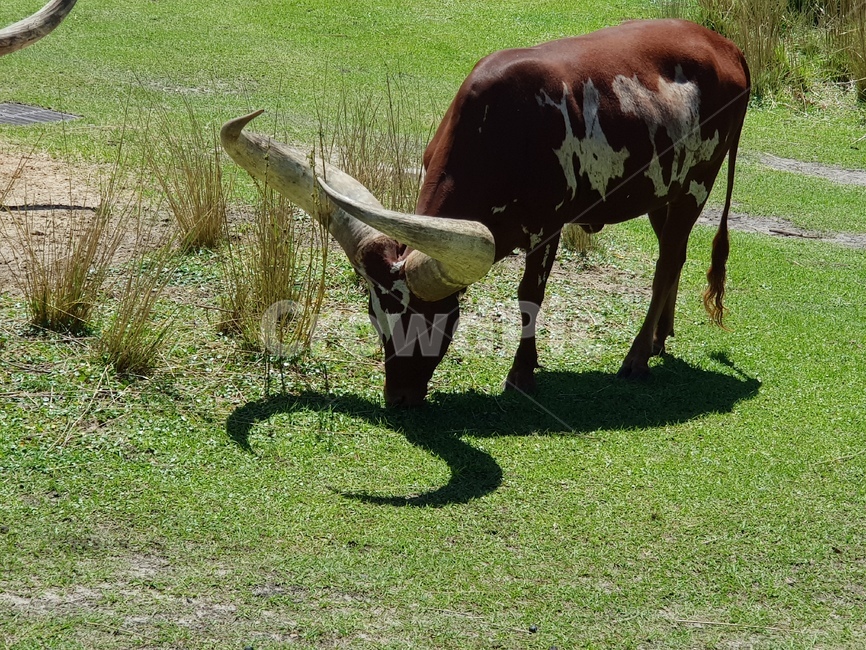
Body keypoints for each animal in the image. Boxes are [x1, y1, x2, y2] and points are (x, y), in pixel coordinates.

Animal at [221, 19, 750, 407]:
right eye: (376, 315)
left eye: (428, 319)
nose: (399, 398)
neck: (497, 131)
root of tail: (727, 45)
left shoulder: (548, 225)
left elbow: (529, 297)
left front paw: (521, 373)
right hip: (664, 191)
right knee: (674, 259)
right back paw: (660, 337)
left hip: (697, 184)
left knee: (667, 264)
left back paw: (637, 357)